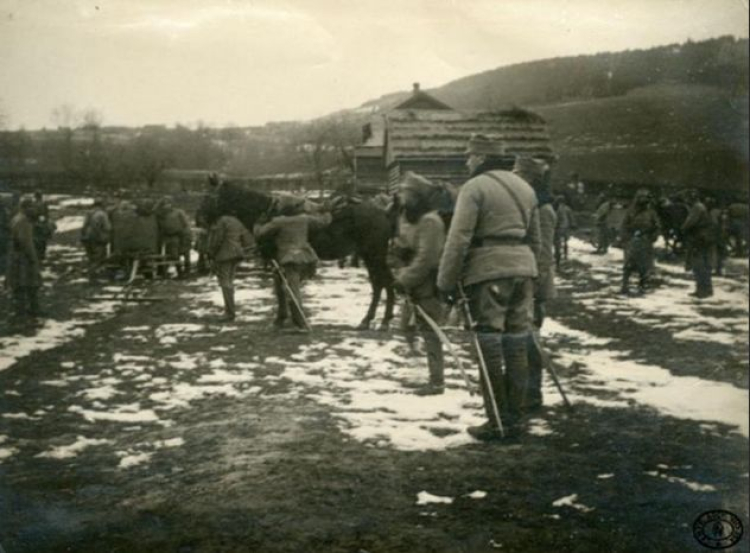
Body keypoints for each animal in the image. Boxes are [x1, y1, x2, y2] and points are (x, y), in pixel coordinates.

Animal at [200, 179, 400, 330]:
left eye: (210, 196)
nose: (201, 219)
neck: (268, 212)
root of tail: (384, 212)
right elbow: (281, 288)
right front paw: (283, 318)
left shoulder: (277, 260)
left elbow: (281, 288)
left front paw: (281, 319)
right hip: (369, 255)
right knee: (381, 283)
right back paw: (376, 320)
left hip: (374, 254)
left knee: (383, 282)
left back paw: (378, 321)